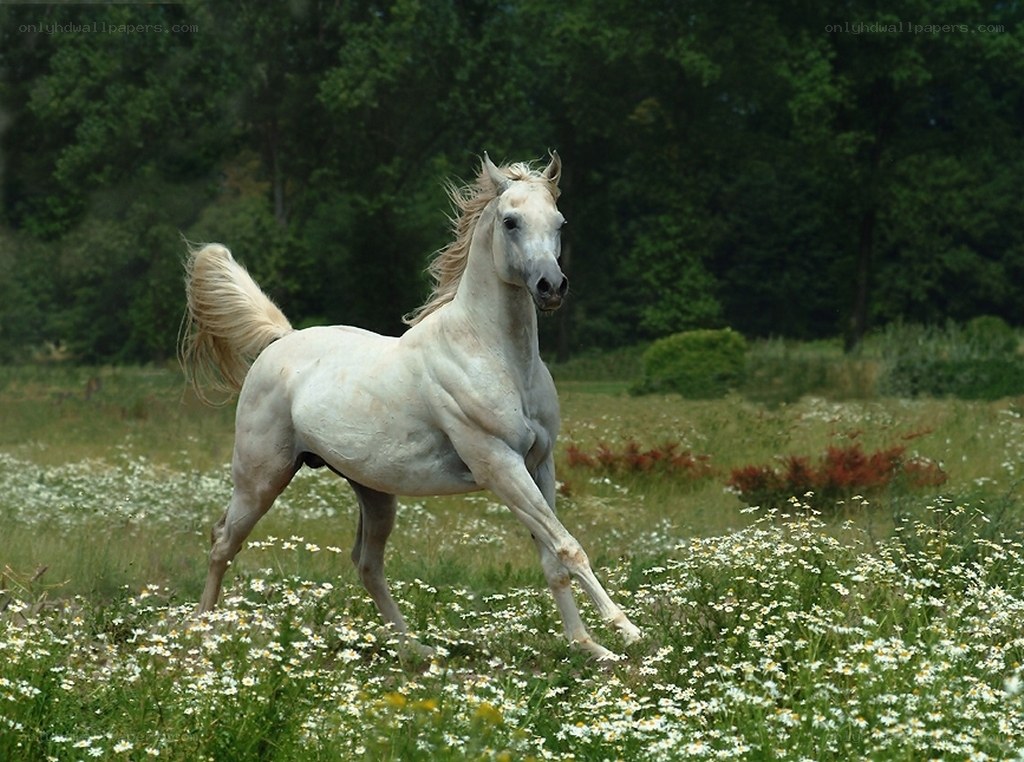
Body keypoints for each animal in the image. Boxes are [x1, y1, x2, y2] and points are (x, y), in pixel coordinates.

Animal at [179, 152, 642, 660]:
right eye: (510, 221)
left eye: (559, 222)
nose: (551, 286)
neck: (493, 355)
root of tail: (281, 340)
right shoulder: (500, 466)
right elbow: (566, 546)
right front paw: (626, 630)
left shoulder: (539, 464)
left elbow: (552, 555)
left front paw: (590, 647)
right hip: (260, 479)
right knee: (223, 542)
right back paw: (201, 636)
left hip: (373, 491)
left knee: (367, 564)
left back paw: (416, 650)